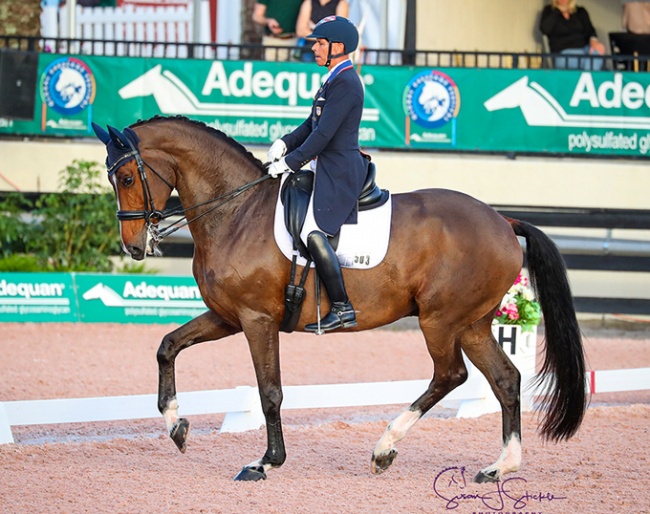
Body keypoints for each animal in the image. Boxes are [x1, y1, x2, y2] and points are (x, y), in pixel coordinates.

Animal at [92, 114, 588, 482]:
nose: (133, 246)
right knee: (505, 380)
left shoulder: (256, 319)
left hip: (441, 321)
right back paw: (500, 466)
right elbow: (167, 346)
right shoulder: (227, 316)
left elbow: (269, 392)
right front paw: (176, 425)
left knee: (451, 375)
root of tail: (503, 221)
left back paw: (384, 448)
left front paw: (265, 462)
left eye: (128, 176)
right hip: (472, 324)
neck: (235, 211)